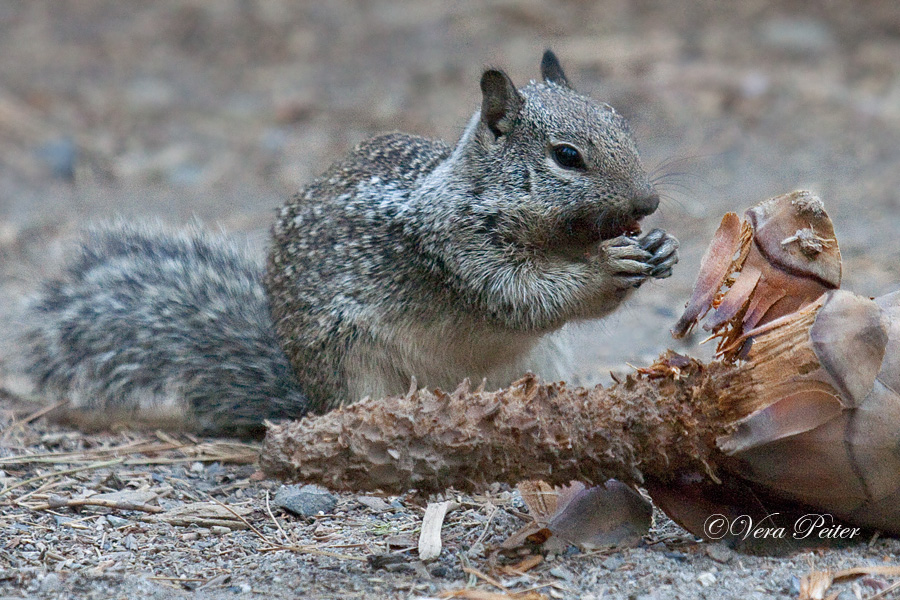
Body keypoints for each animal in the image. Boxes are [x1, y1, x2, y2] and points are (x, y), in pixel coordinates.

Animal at [15, 51, 676, 436]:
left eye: (623, 123)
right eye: (566, 157)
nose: (648, 203)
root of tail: (307, 399)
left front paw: (662, 249)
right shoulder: (457, 253)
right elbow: (524, 296)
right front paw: (605, 269)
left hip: (541, 362)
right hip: (354, 362)